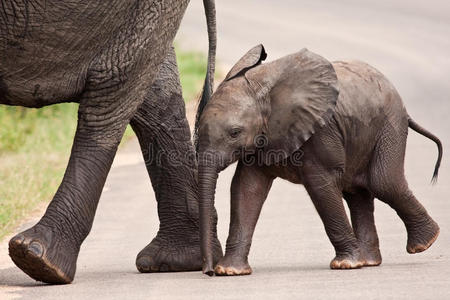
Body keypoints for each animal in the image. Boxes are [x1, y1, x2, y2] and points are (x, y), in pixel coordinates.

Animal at [195, 43, 442, 276]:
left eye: (234, 133)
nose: (208, 271)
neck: (262, 88)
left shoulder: (321, 130)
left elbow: (320, 185)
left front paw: (345, 265)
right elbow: (247, 188)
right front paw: (230, 271)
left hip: (389, 125)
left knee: (383, 182)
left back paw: (424, 243)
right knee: (357, 192)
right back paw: (370, 261)